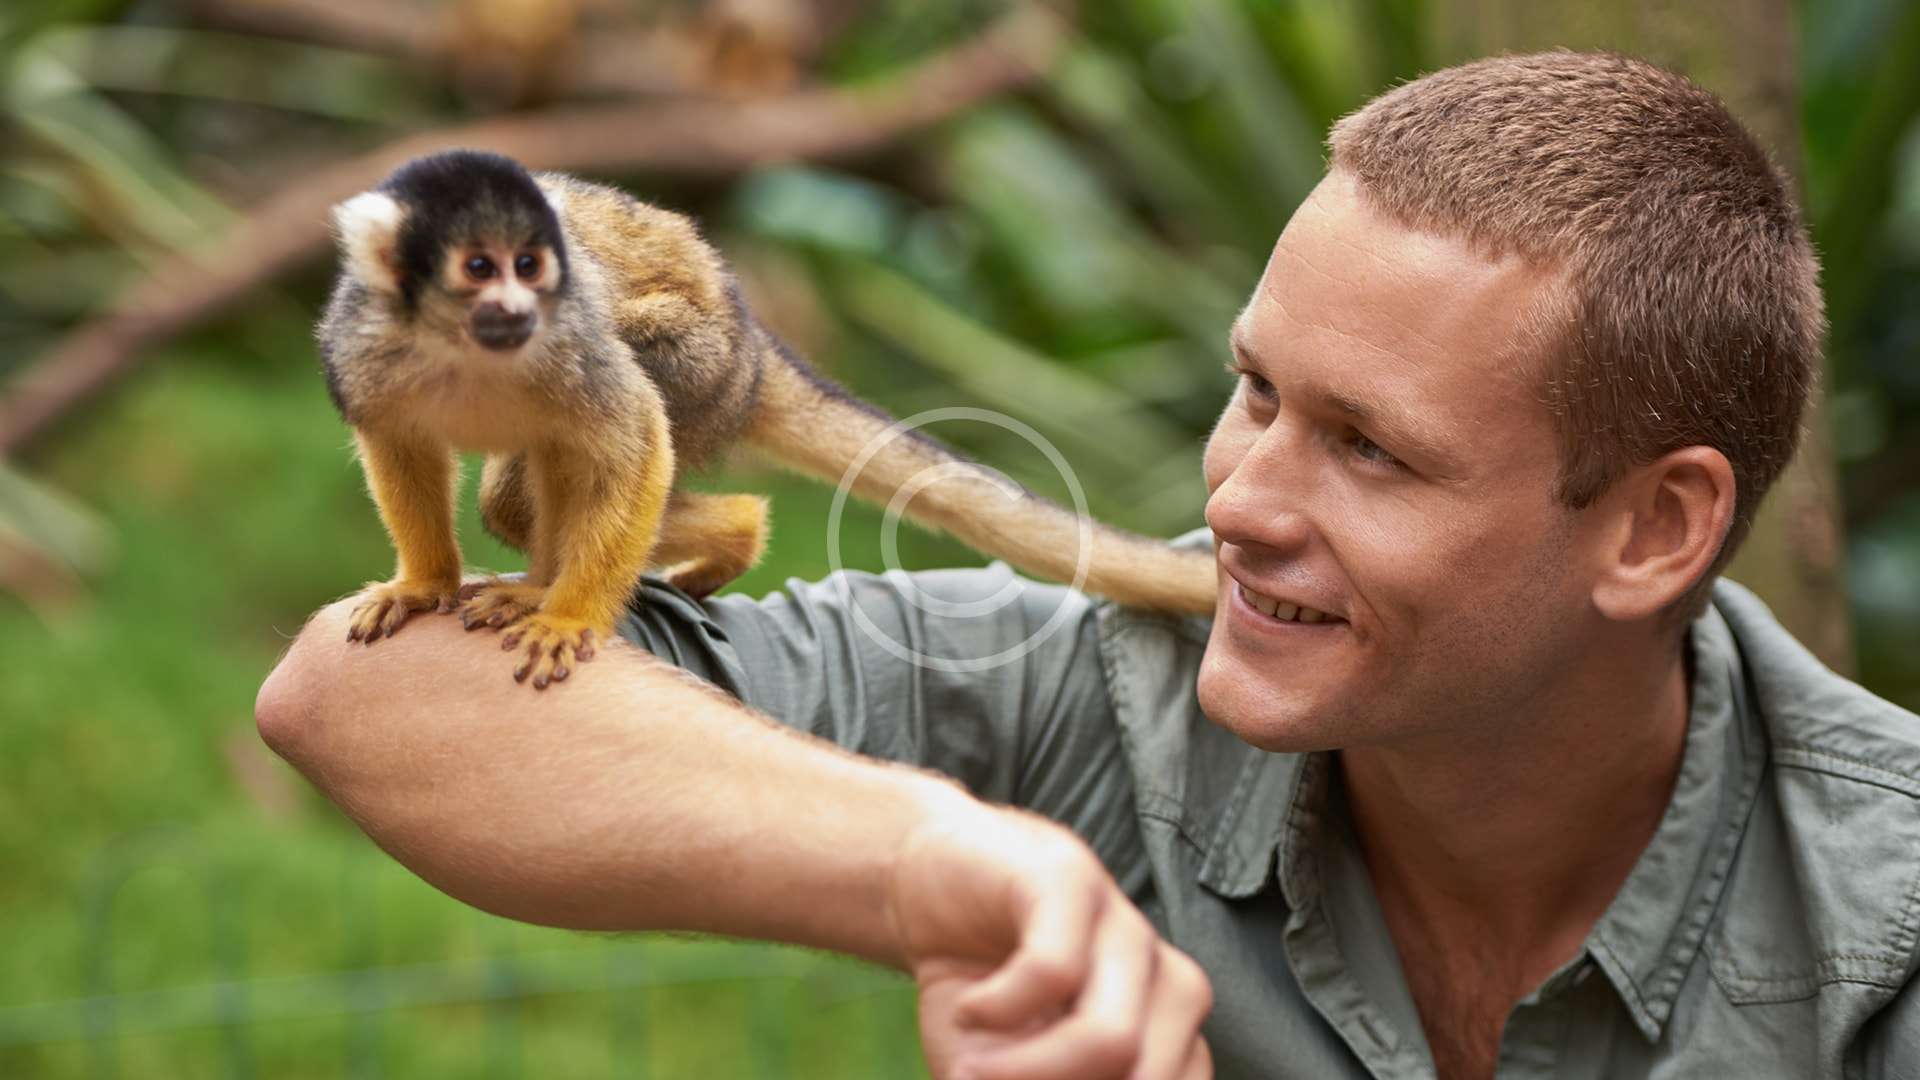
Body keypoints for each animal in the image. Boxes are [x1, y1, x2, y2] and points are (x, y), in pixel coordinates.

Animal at [318, 149, 1217, 688]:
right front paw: (424, 583)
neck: (464, 347)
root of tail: (753, 346)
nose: (517, 306)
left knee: (589, 442)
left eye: (529, 266)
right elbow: (398, 444)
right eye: (480, 268)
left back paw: (693, 543)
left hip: (703, 369)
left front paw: (568, 614)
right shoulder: (359, 349)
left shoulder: (570, 341)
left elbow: (633, 438)